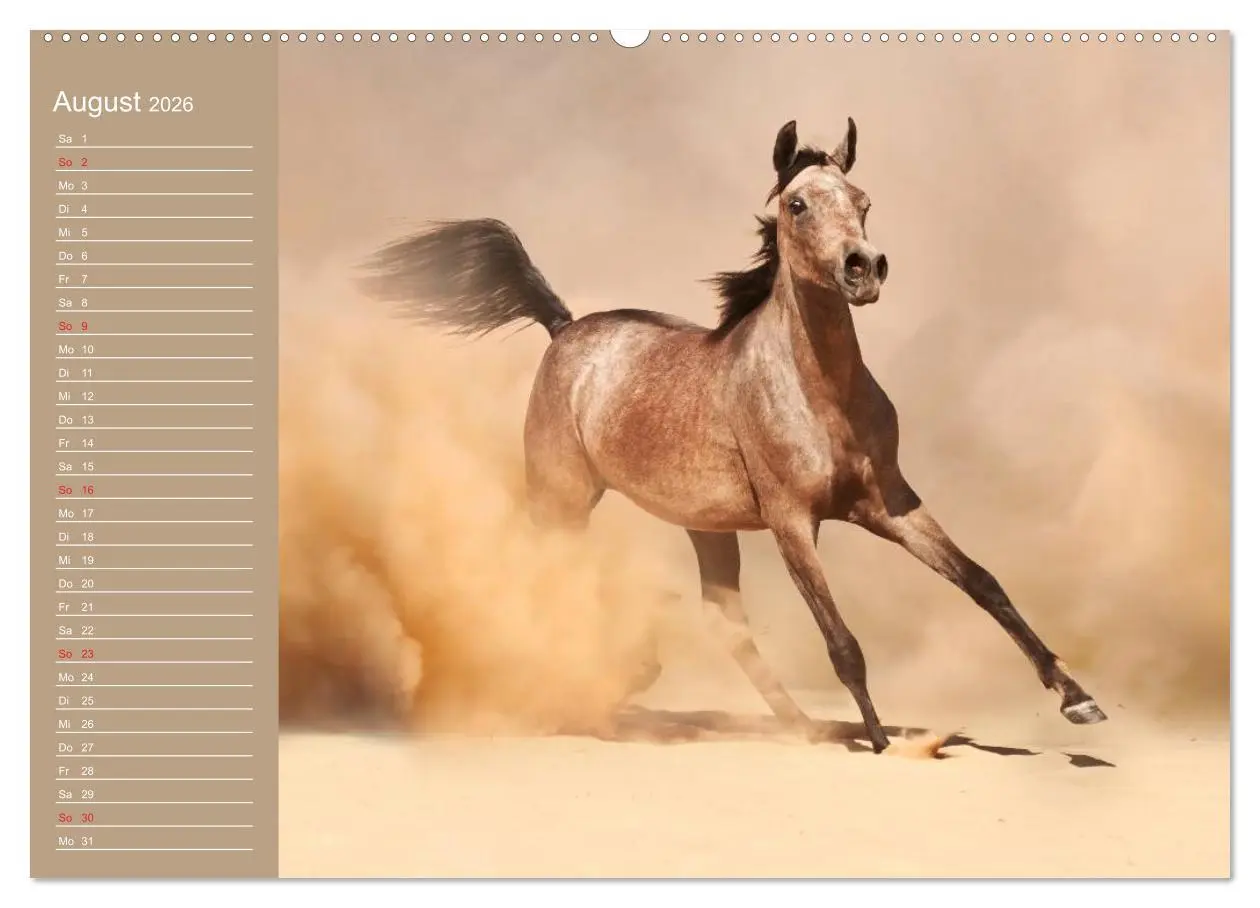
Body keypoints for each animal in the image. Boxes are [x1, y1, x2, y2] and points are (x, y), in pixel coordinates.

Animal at [359, 118, 1108, 754]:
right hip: (562, 499)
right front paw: (881, 742)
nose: (864, 268)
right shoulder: (791, 520)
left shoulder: (888, 505)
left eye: (862, 200)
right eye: (797, 205)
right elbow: (842, 641)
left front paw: (1078, 700)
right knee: (545, 576)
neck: (822, 395)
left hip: (705, 526)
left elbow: (984, 583)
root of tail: (565, 327)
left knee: (724, 621)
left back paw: (793, 723)